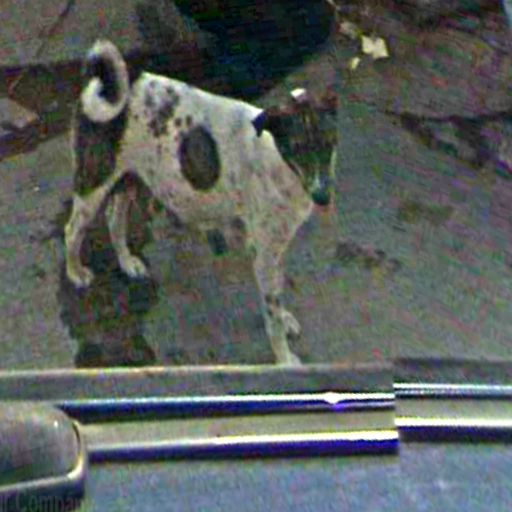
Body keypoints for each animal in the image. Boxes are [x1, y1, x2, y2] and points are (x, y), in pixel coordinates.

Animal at [65, 40, 339, 365]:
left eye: (328, 142)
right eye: (297, 147)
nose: (322, 197)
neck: (278, 161)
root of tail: (112, 81)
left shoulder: (273, 250)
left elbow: (276, 297)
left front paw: (284, 319)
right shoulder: (264, 253)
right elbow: (271, 315)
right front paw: (284, 358)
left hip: (131, 178)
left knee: (114, 218)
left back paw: (127, 261)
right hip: (94, 182)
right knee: (72, 230)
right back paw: (75, 272)